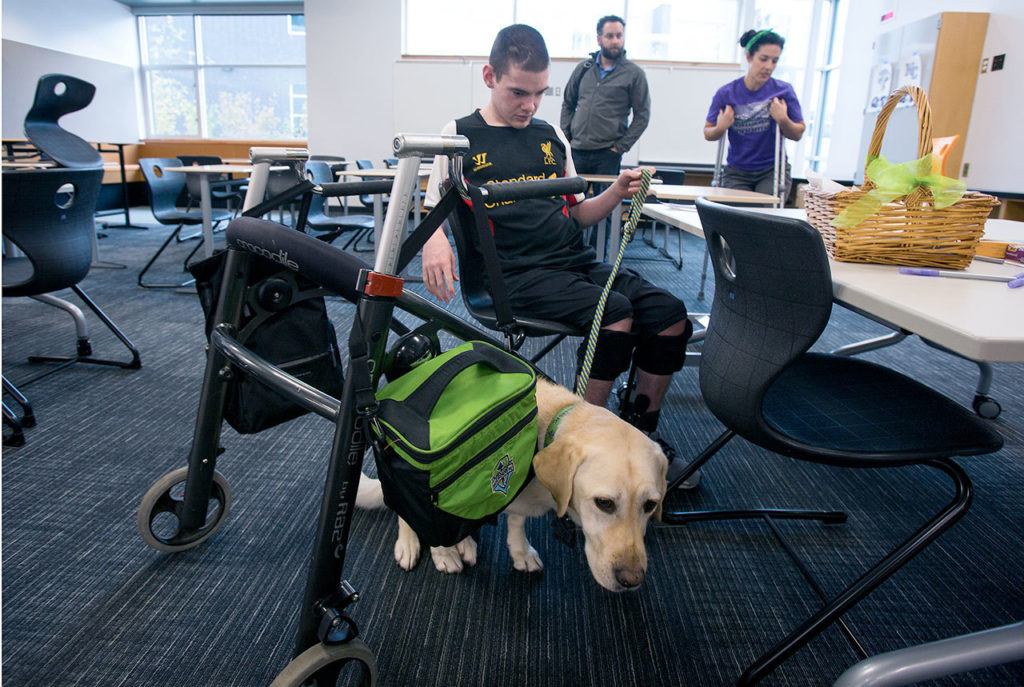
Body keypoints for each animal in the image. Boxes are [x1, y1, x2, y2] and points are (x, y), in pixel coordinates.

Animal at [356, 378, 667, 593]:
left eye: (651, 505)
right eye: (604, 503)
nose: (632, 580)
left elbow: (517, 522)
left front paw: (520, 552)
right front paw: (443, 553)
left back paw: (466, 542)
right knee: (404, 511)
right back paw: (414, 543)